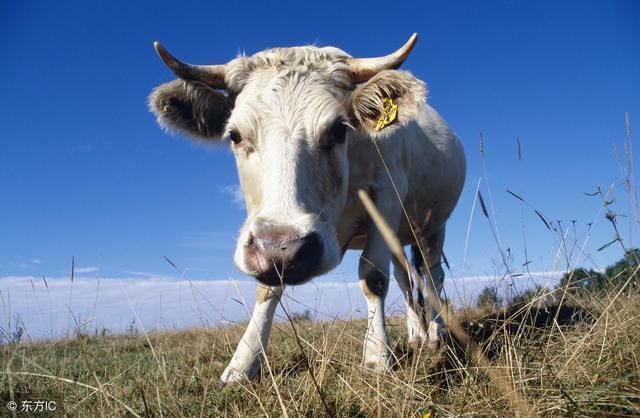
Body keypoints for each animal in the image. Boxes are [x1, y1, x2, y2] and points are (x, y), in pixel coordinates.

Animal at [152, 34, 468, 384]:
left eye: (339, 129)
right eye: (234, 135)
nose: (284, 249)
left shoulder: (385, 196)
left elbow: (373, 277)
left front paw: (376, 356)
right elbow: (267, 289)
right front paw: (242, 364)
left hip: (431, 227)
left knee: (432, 276)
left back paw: (436, 334)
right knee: (406, 279)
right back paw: (416, 335)